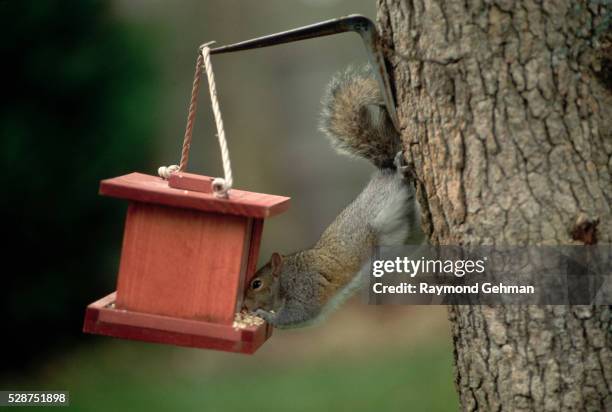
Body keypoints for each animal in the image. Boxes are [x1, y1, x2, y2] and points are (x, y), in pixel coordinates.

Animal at [241, 64, 418, 328]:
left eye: (256, 284)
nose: (243, 306)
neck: (286, 275)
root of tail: (383, 170)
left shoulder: (305, 289)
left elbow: (297, 314)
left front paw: (265, 315)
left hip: (385, 202)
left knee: (398, 180)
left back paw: (400, 168)